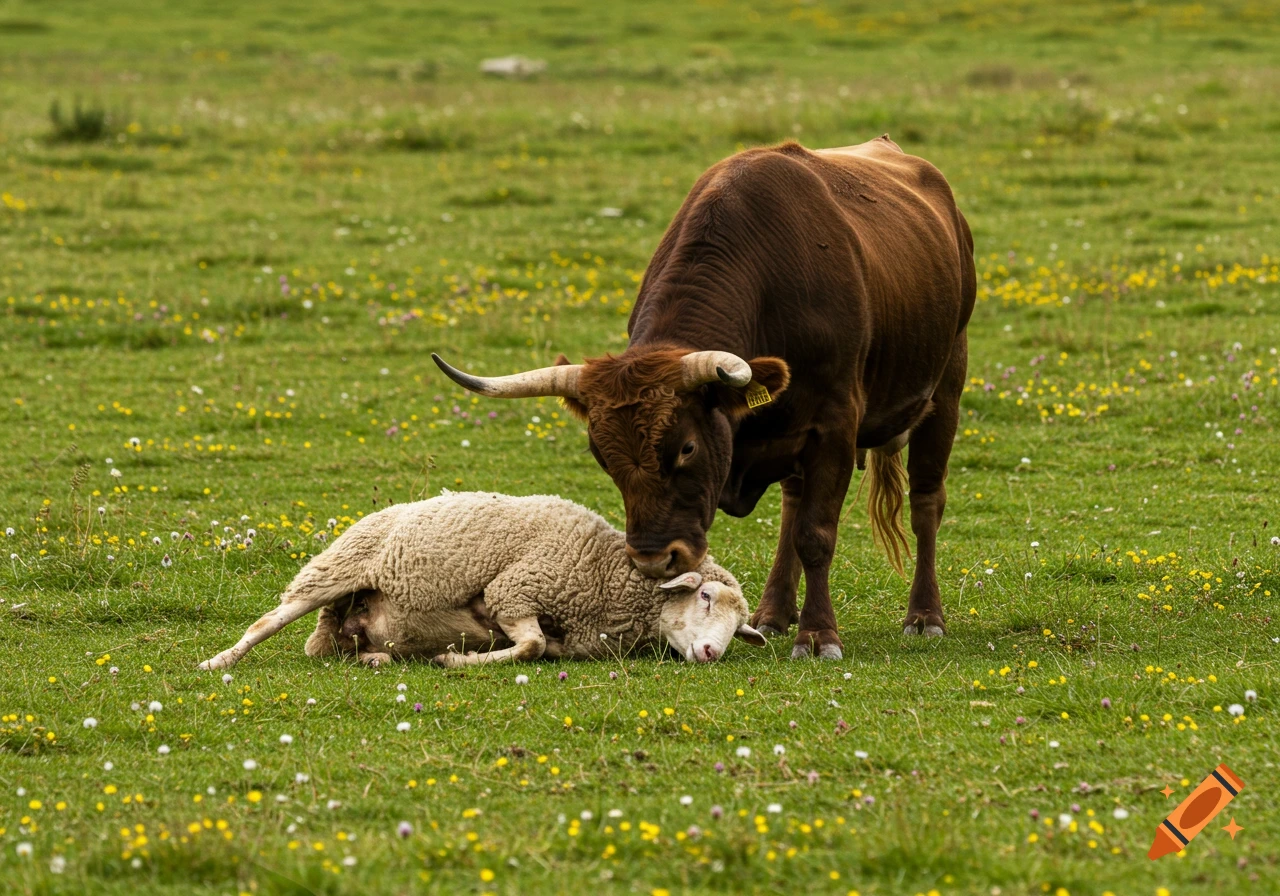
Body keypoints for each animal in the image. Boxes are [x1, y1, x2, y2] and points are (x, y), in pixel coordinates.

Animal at [198, 491, 766, 670]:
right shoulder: (513, 590)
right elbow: (531, 645)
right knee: (268, 621)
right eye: (705, 596)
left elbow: (540, 648)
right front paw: (455, 660)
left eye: (740, 626)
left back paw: (376, 658)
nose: (712, 653)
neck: (606, 575)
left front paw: (455, 655)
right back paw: (218, 661)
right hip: (334, 570)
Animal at [433, 136, 976, 660]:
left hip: (946, 389)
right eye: (601, 455)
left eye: (687, 447)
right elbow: (799, 524)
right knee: (791, 506)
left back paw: (924, 616)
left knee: (926, 501)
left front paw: (820, 636)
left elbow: (816, 535)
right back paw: (774, 613)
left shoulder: (834, 426)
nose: (654, 559)